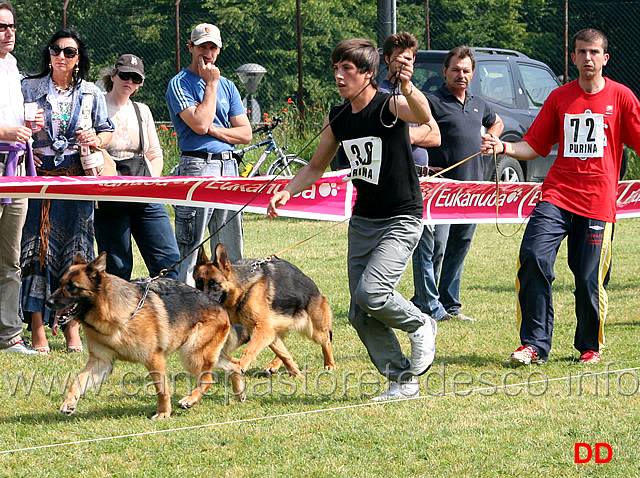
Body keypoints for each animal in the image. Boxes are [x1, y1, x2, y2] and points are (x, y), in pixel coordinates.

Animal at [46, 252, 246, 420]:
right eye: (60, 283)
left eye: (72, 287)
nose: (48, 302)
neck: (115, 316)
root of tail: (218, 305)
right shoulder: (101, 363)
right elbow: (77, 380)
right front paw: (69, 402)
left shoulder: (154, 359)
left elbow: (161, 389)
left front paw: (164, 413)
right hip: (202, 353)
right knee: (234, 365)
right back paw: (240, 393)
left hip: (192, 354)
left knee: (208, 379)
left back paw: (189, 400)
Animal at [194, 245, 336, 380]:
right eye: (198, 284)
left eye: (215, 284)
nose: (202, 304)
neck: (241, 291)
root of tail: (312, 285)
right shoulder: (265, 331)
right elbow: (283, 353)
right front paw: (296, 373)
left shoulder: (263, 329)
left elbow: (249, 350)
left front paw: (240, 366)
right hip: (276, 329)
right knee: (283, 348)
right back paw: (275, 365)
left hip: (315, 331)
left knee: (326, 341)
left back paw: (330, 364)